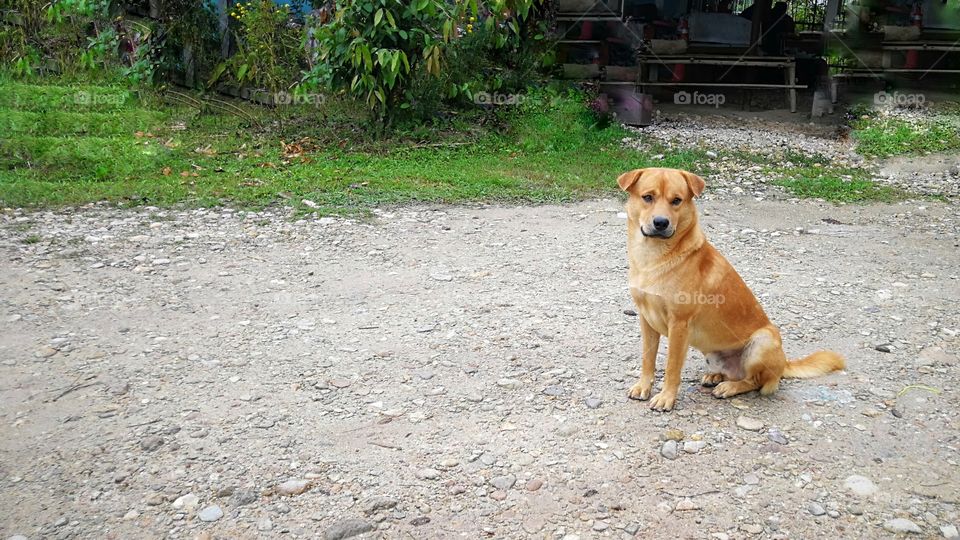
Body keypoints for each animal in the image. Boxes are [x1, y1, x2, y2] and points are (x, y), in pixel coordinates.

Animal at [620, 167, 844, 412]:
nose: (661, 222)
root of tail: (784, 363)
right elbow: (647, 359)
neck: (654, 258)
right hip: (712, 351)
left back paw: (729, 387)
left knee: (755, 381)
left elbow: (672, 367)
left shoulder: (679, 324)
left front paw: (666, 397)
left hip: (763, 341)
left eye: (676, 200)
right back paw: (715, 376)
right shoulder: (646, 319)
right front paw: (643, 386)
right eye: (647, 197)